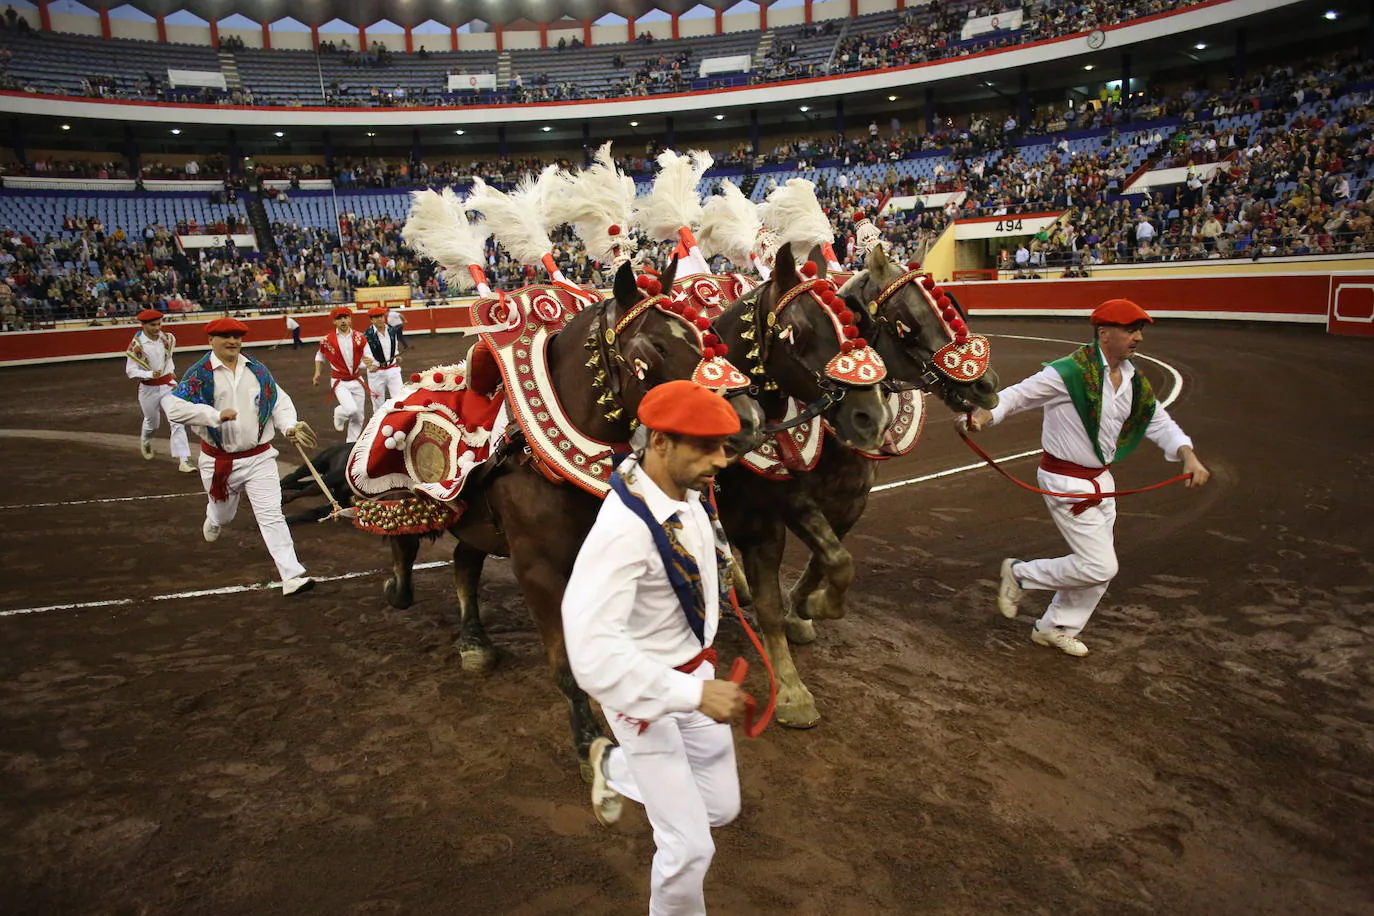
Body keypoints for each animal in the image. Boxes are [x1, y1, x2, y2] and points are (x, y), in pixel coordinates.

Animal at [379, 258, 763, 774]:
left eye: (704, 340)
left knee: (464, 563)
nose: (747, 421)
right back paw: (399, 584)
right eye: (657, 347)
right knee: (409, 546)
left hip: (479, 528)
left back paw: (474, 641)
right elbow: (565, 664)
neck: (543, 462)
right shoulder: (537, 569)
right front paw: (589, 742)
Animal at [708, 245, 890, 730]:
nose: (873, 418)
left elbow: (835, 562)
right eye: (801, 331)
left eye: (851, 321)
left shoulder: (786, 511)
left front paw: (812, 614)